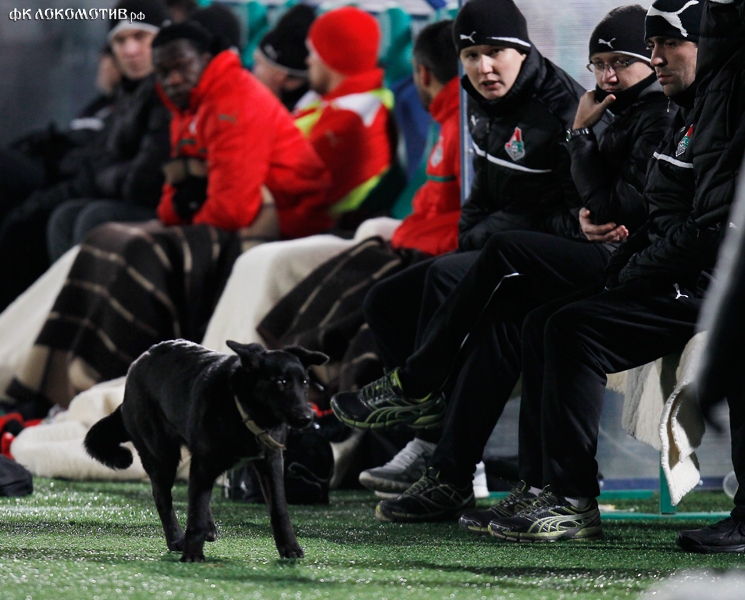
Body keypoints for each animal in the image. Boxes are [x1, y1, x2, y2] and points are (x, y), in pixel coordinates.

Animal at [83, 342, 326, 564]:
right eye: (281, 382)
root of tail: (137, 363)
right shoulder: (204, 462)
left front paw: (289, 548)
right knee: (163, 498)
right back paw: (177, 539)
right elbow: (196, 511)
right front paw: (192, 555)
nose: (307, 417)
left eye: (304, 383)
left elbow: (279, 508)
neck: (241, 406)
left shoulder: (270, 461)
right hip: (162, 455)